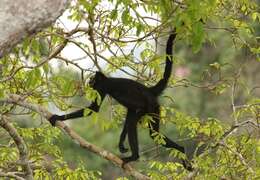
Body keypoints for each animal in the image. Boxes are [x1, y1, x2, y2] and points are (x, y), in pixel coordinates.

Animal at [49, 30, 191, 170]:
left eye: (92, 79)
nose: (89, 81)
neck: (106, 79)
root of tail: (150, 91)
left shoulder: (102, 87)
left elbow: (93, 109)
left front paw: (58, 117)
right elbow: (127, 115)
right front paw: (121, 142)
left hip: (150, 105)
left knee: (138, 126)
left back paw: (134, 157)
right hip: (154, 108)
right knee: (153, 133)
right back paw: (181, 150)